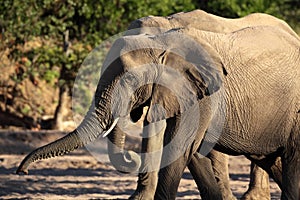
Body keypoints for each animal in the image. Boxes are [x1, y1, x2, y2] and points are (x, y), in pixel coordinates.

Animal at [17, 13, 300, 200]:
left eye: (130, 79)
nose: (22, 171)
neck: (164, 35)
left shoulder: (202, 94)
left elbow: (181, 146)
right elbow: (185, 147)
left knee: (291, 161)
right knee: (274, 160)